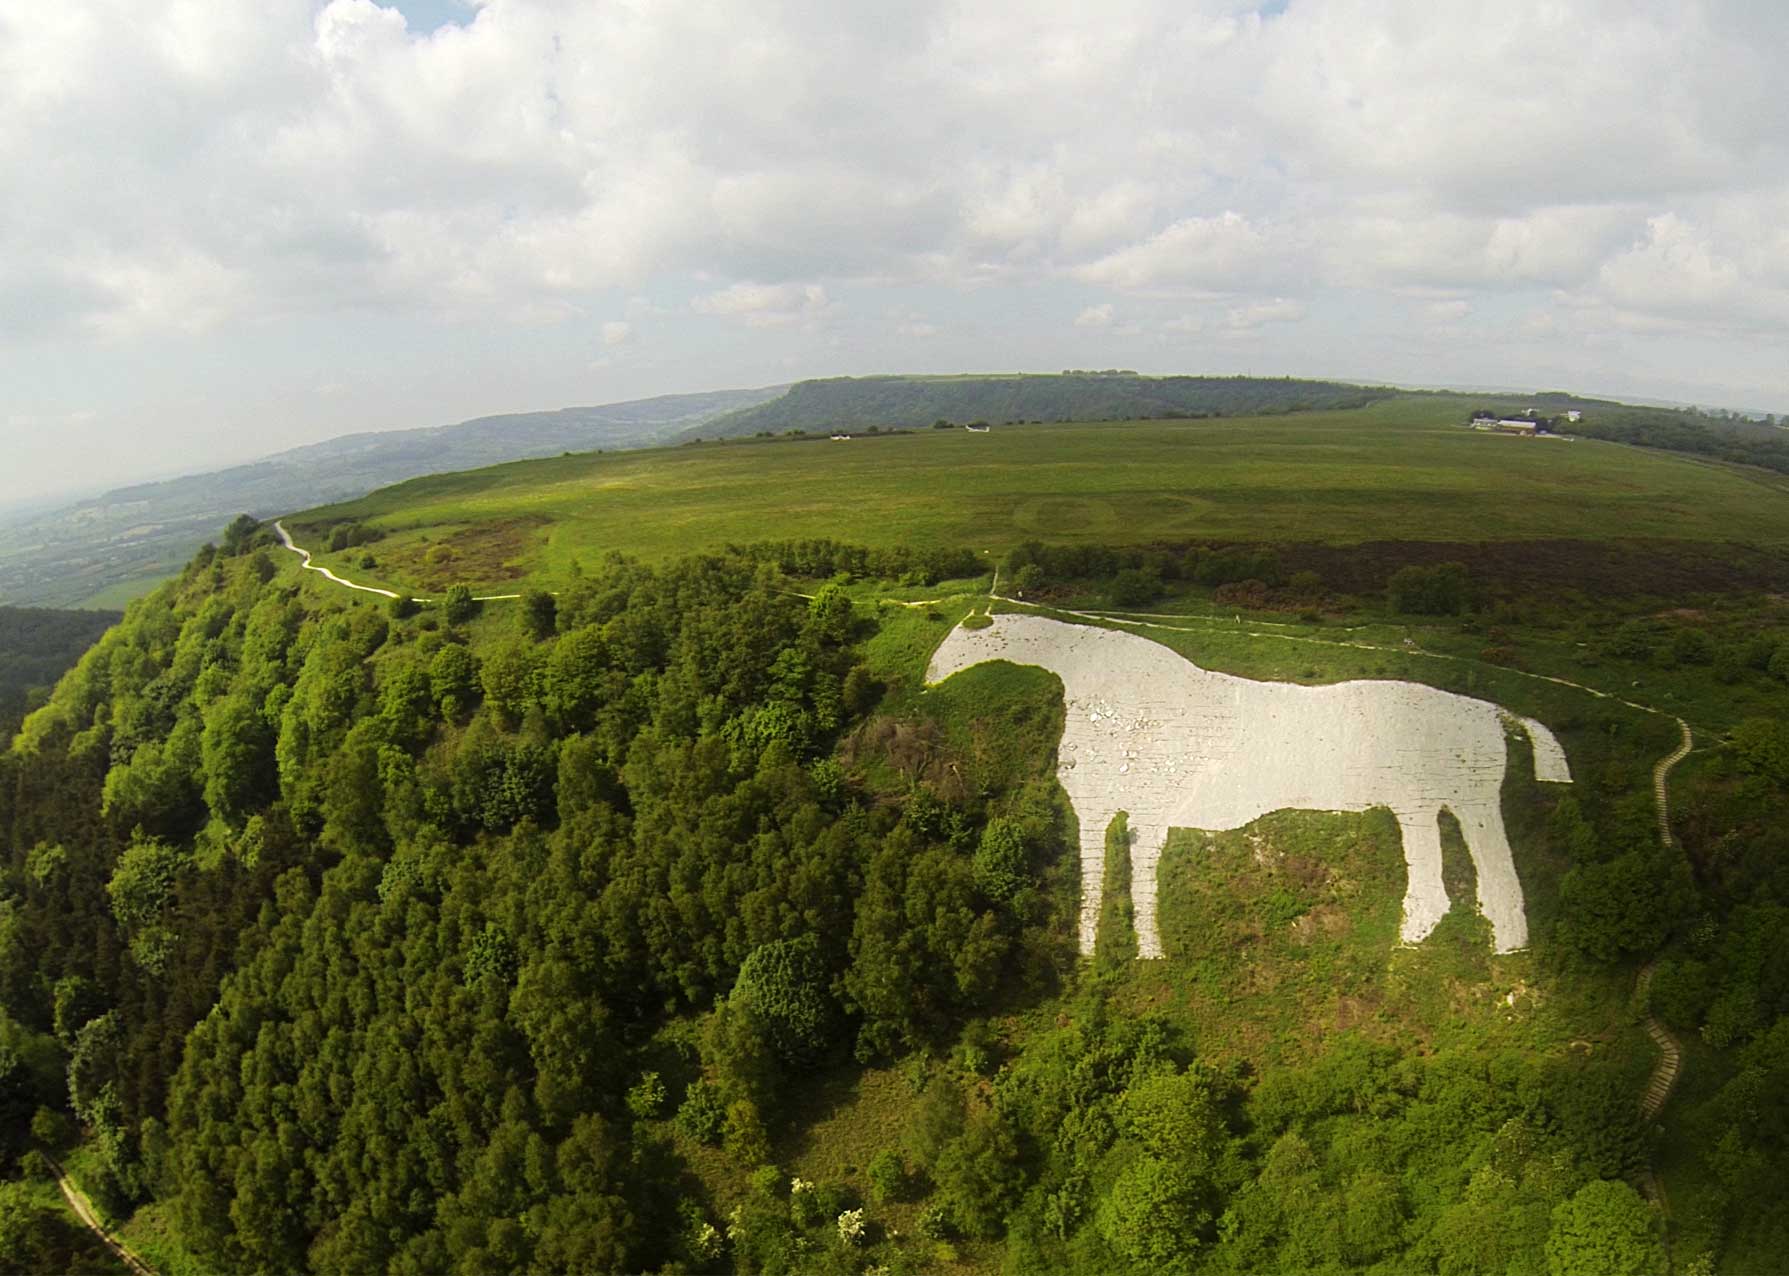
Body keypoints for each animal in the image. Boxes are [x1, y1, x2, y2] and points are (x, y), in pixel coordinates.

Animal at [926, 613, 1572, 958]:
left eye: (963, 636)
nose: (928, 678)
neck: (1104, 688)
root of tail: (1493, 712)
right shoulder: (1097, 811)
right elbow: (1093, 882)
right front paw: (1092, 955)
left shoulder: (1147, 813)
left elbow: (1138, 883)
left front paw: (1148, 953)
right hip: (1435, 803)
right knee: (1462, 874)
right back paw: (1457, 940)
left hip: (1455, 798)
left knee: (1484, 872)